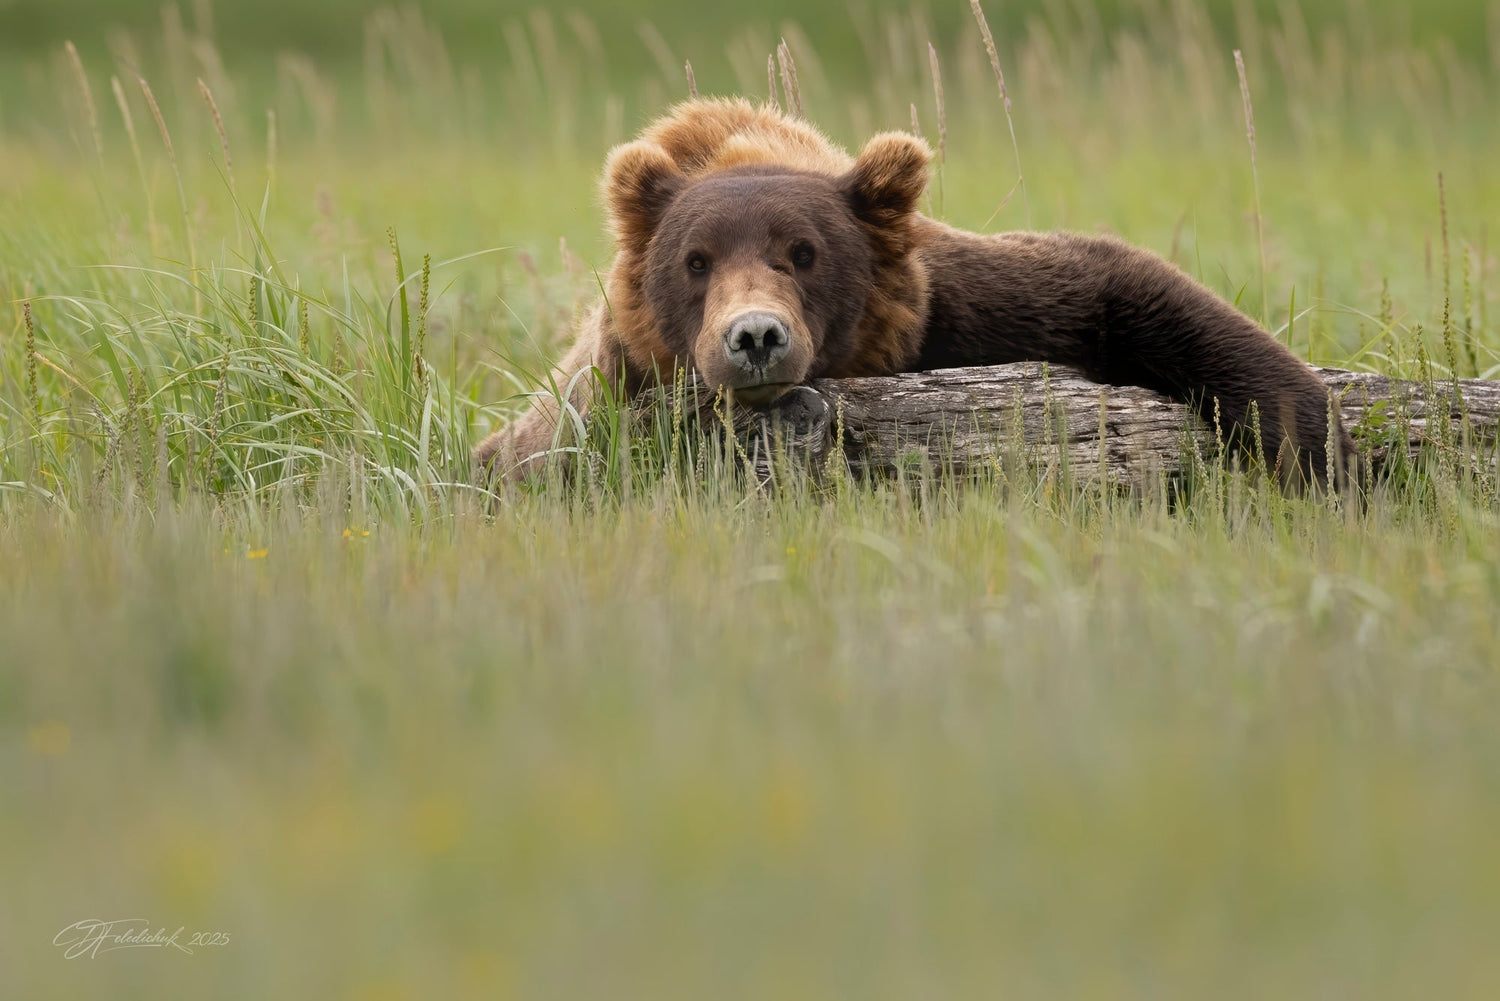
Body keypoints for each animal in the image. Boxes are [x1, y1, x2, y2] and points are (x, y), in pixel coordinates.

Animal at [476, 97, 1353, 489]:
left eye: (804, 252)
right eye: (696, 262)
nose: (755, 336)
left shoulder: (959, 309)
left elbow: (1123, 287)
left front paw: (1324, 453)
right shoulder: (604, 386)